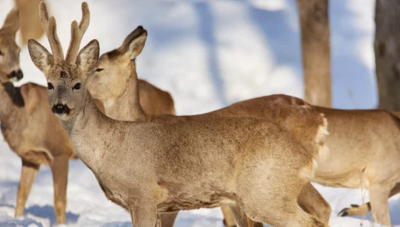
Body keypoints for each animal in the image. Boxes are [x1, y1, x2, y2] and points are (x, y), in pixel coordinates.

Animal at [0, 6, 75, 224]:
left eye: (18, 50)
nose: (17, 73)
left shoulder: (59, 151)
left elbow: (59, 203)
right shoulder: (30, 157)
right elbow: (21, 194)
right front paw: (17, 220)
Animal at [28, 2, 332, 227]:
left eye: (79, 83)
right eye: (49, 84)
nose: (60, 107)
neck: (109, 149)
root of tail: (303, 156)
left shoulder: (145, 194)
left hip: (266, 193)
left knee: (312, 219)